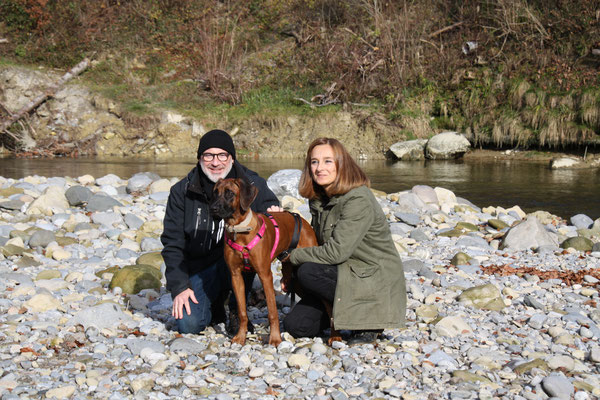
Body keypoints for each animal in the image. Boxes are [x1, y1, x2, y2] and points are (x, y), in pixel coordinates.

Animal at [211, 178, 324, 346]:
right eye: (215, 192)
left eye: (230, 193)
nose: (213, 208)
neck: (240, 230)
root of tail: (303, 221)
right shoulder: (236, 277)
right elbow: (242, 312)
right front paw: (240, 337)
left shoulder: (265, 276)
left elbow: (272, 312)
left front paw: (275, 338)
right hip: (293, 279)